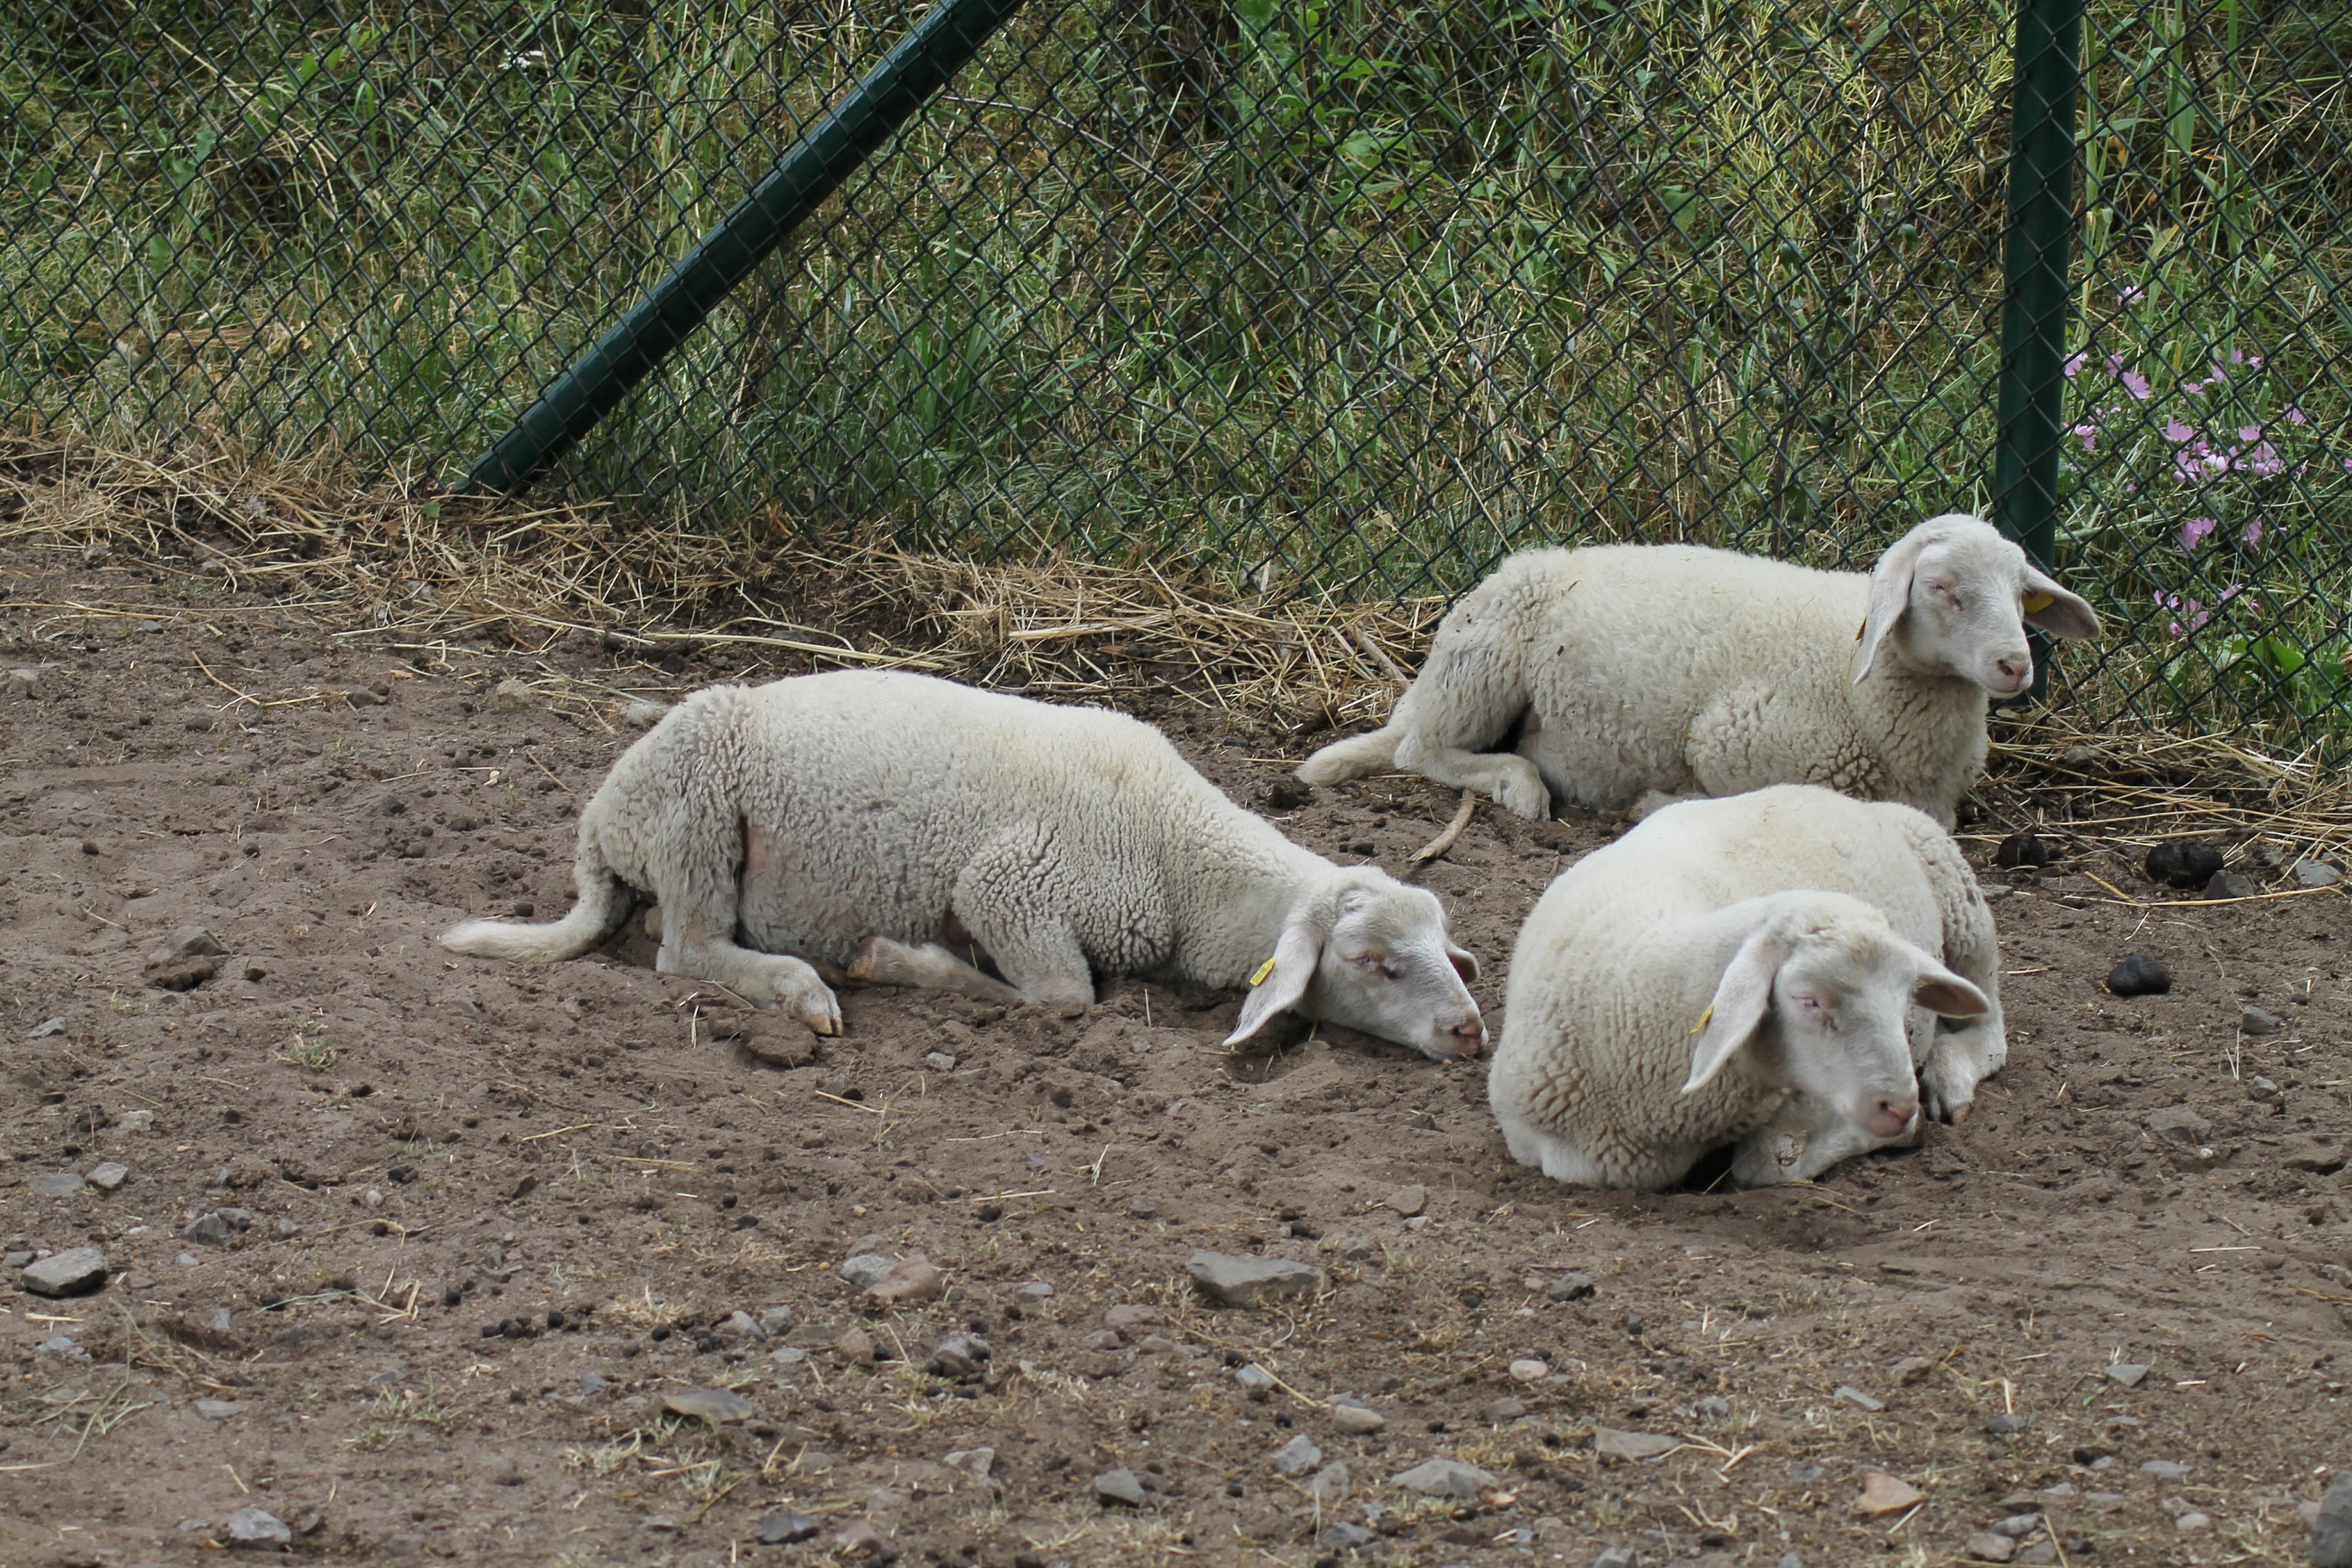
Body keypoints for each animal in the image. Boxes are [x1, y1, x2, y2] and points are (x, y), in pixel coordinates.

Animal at [440, 670, 1486, 1060]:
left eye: (1445, 950)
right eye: (1373, 963)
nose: (1473, 1032)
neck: (1184, 857)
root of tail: (600, 819)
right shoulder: (1013, 887)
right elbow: (1063, 998)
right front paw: (903, 962)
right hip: (697, 816)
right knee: (686, 950)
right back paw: (803, 988)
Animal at [1298, 513, 2100, 829]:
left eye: (2021, 591)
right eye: (1938, 587)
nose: (2014, 665)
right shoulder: (1732, 741)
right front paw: (1655, 803)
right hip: (1484, 665)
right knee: (1421, 752)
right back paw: (1520, 785)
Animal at [1486, 784, 2004, 1190]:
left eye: (1904, 1001)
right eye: (1808, 1001)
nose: (1898, 1107)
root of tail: (1844, 797)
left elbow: (1766, 1163)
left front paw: (1903, 1131)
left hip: (1960, 899)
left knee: (1990, 1028)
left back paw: (1950, 1078)